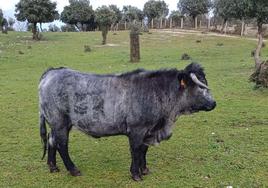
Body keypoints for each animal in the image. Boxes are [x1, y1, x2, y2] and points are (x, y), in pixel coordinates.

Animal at [39, 63, 216, 181]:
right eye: (200, 87)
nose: (214, 103)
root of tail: (52, 72)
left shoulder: (148, 130)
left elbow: (144, 150)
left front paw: (144, 169)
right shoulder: (137, 130)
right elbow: (136, 151)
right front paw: (136, 174)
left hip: (57, 123)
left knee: (51, 140)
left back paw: (52, 166)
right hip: (60, 122)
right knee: (62, 145)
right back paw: (73, 170)